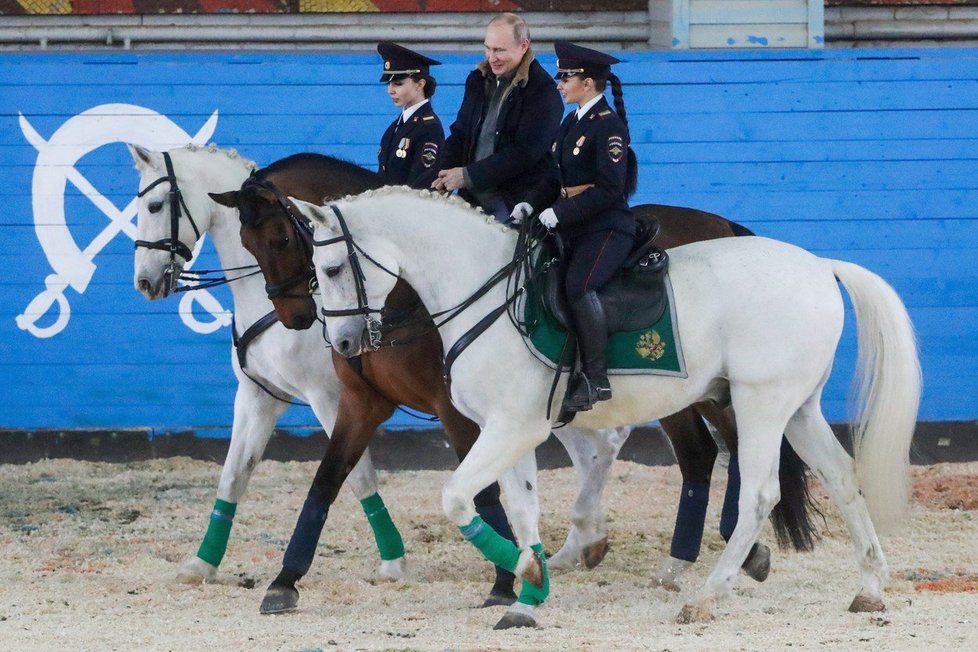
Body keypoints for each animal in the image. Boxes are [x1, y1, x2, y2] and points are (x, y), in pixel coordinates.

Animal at [296, 187, 916, 628]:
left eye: (331, 270)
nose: (344, 344)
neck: (485, 292)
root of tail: (817, 265)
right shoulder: (510, 429)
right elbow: (522, 509)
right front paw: (529, 595)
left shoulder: (510, 427)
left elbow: (455, 498)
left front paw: (526, 574)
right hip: (798, 406)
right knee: (841, 475)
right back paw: (869, 589)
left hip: (760, 402)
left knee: (760, 494)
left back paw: (707, 597)